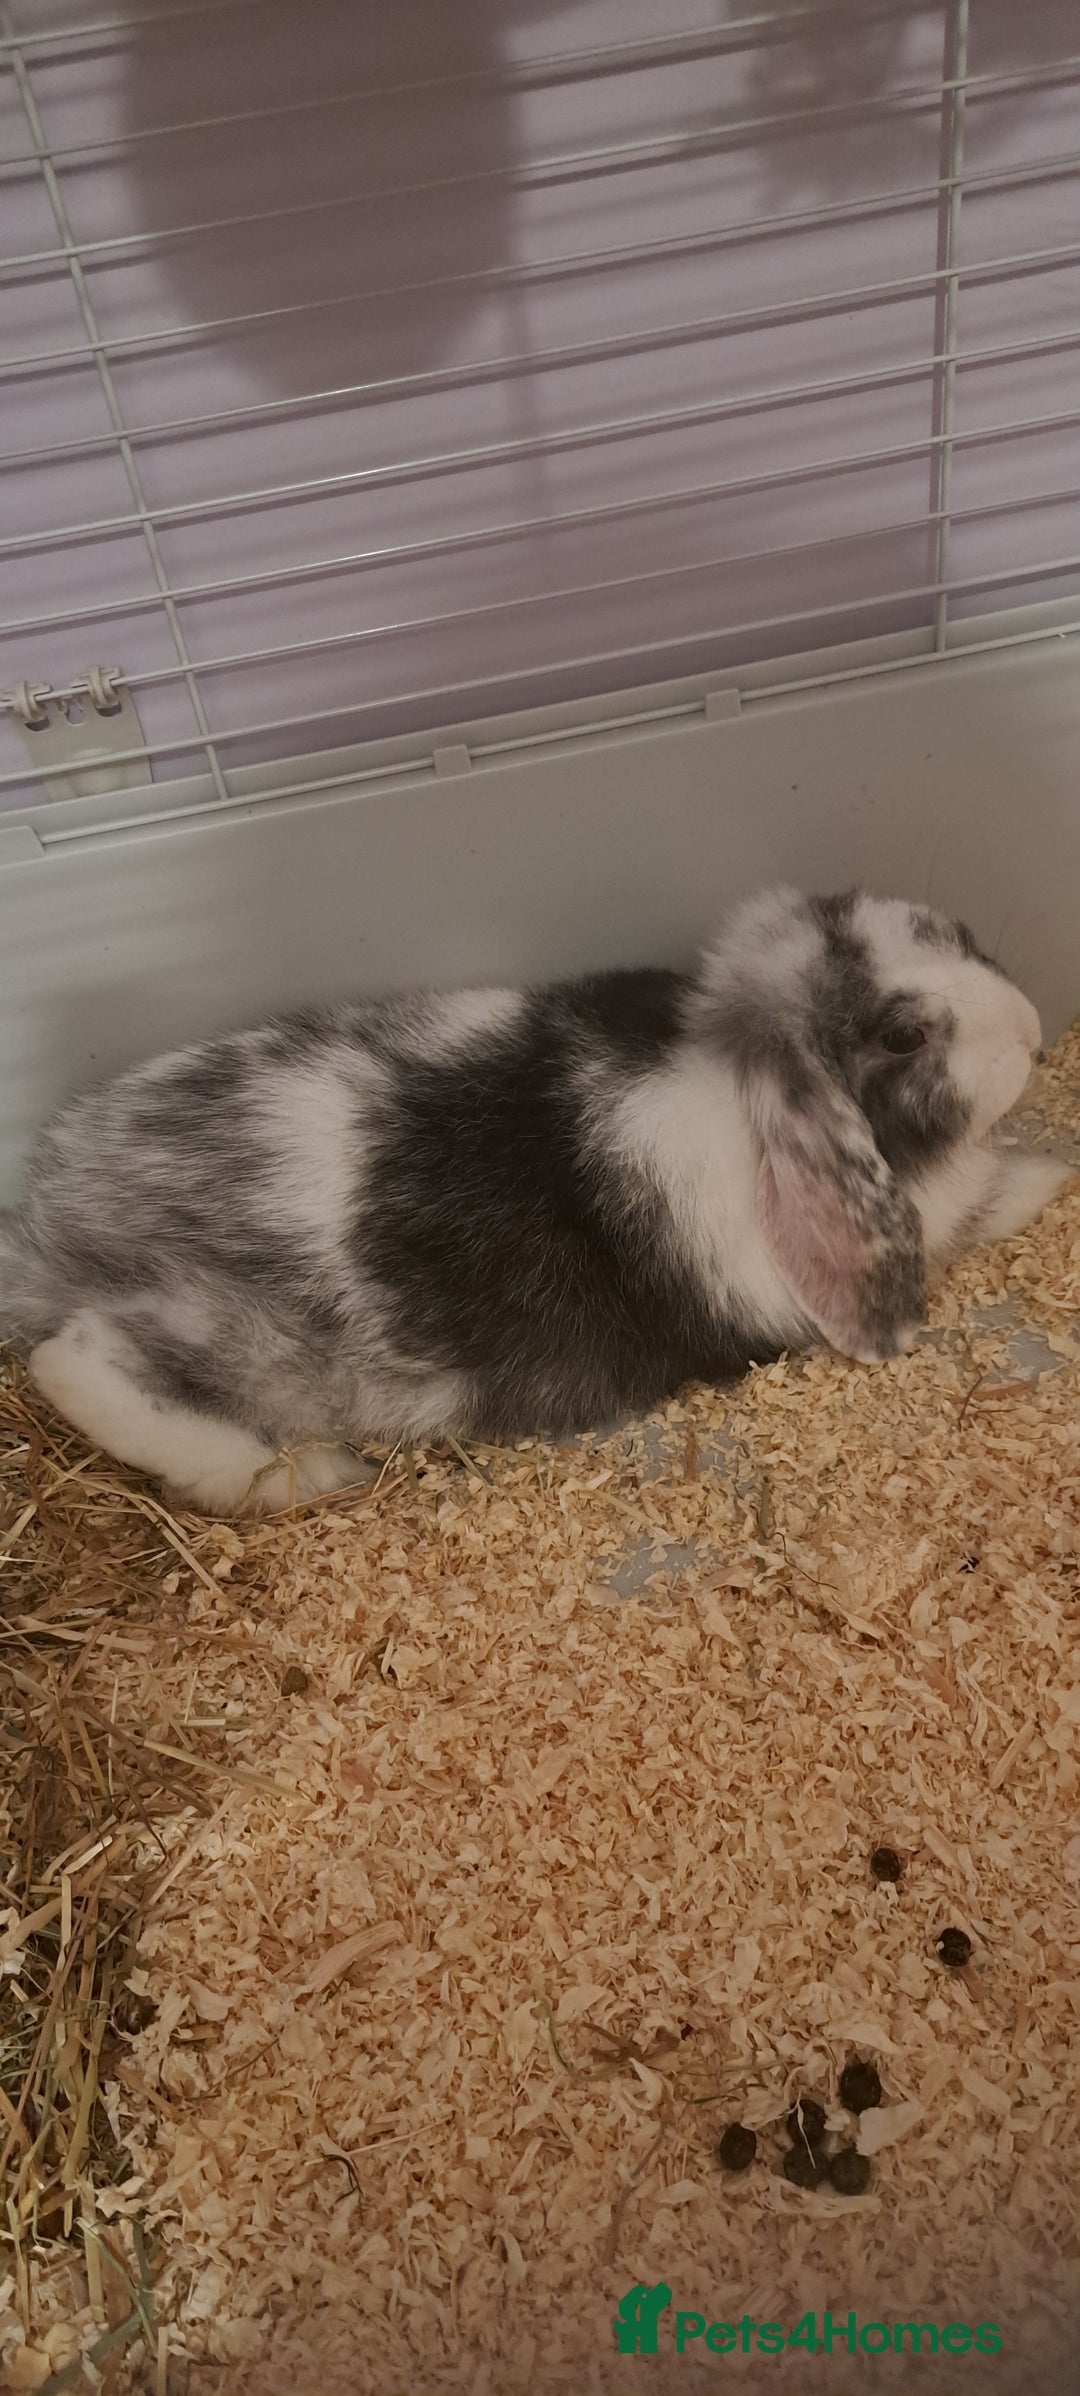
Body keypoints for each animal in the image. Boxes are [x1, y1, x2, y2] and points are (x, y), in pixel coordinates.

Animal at [0, 885, 1071, 1517]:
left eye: (955, 933)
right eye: (902, 1036)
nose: (1031, 1029)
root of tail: (51, 1233)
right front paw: (1051, 1177)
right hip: (233, 1344)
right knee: (76, 1362)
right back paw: (307, 1476)